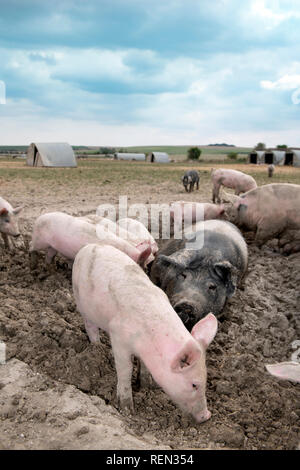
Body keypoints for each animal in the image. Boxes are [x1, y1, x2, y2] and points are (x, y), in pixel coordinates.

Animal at [72, 244, 218, 424]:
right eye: (194, 385)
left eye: (206, 381)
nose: (207, 415)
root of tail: (88, 246)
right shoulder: (118, 337)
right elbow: (125, 369)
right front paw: (127, 410)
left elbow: (145, 369)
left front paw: (148, 385)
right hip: (81, 300)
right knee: (90, 326)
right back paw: (97, 347)